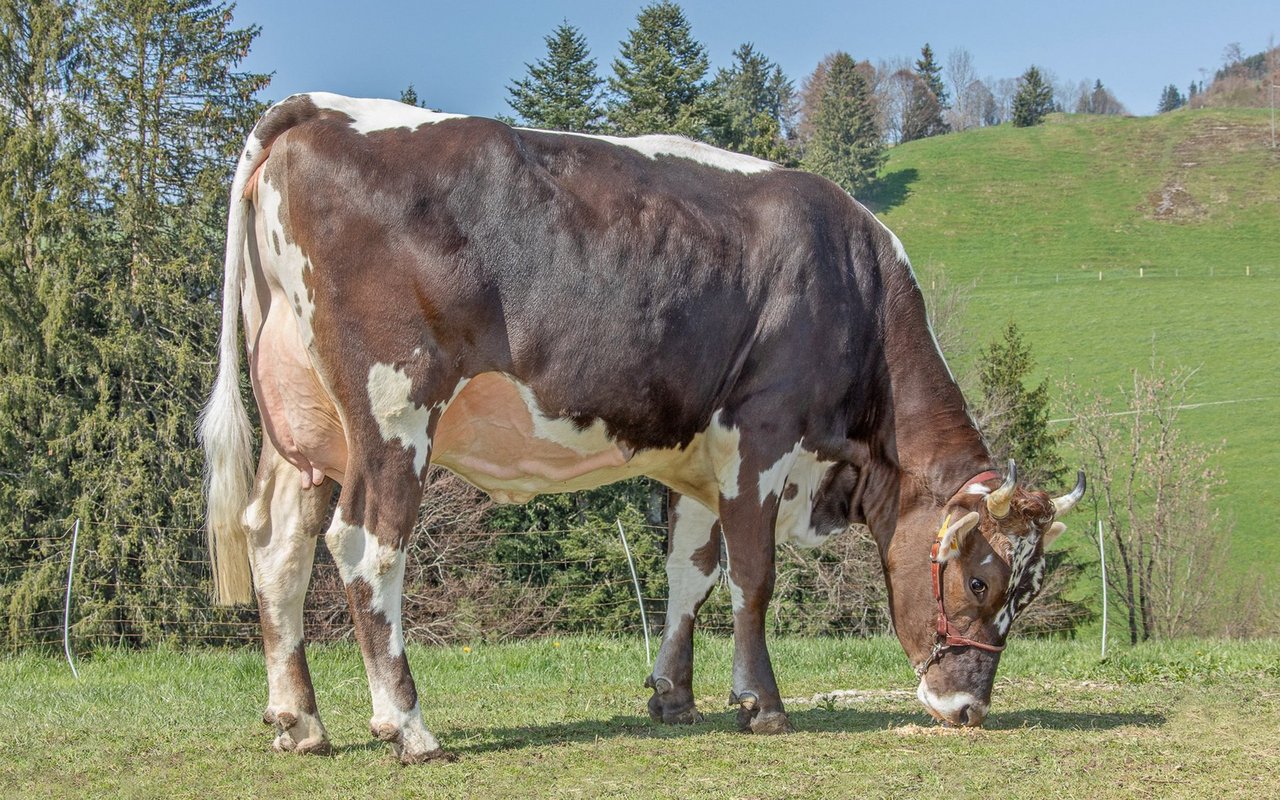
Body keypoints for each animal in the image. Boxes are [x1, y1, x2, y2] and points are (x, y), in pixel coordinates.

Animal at [201, 93, 1086, 763]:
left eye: (1032, 590)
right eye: (981, 581)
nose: (967, 709)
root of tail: (320, 108)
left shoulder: (692, 457)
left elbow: (689, 575)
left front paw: (674, 695)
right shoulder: (760, 436)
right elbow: (753, 576)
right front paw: (761, 704)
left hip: (306, 427)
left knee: (277, 545)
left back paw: (300, 722)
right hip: (395, 411)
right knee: (366, 546)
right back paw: (408, 726)